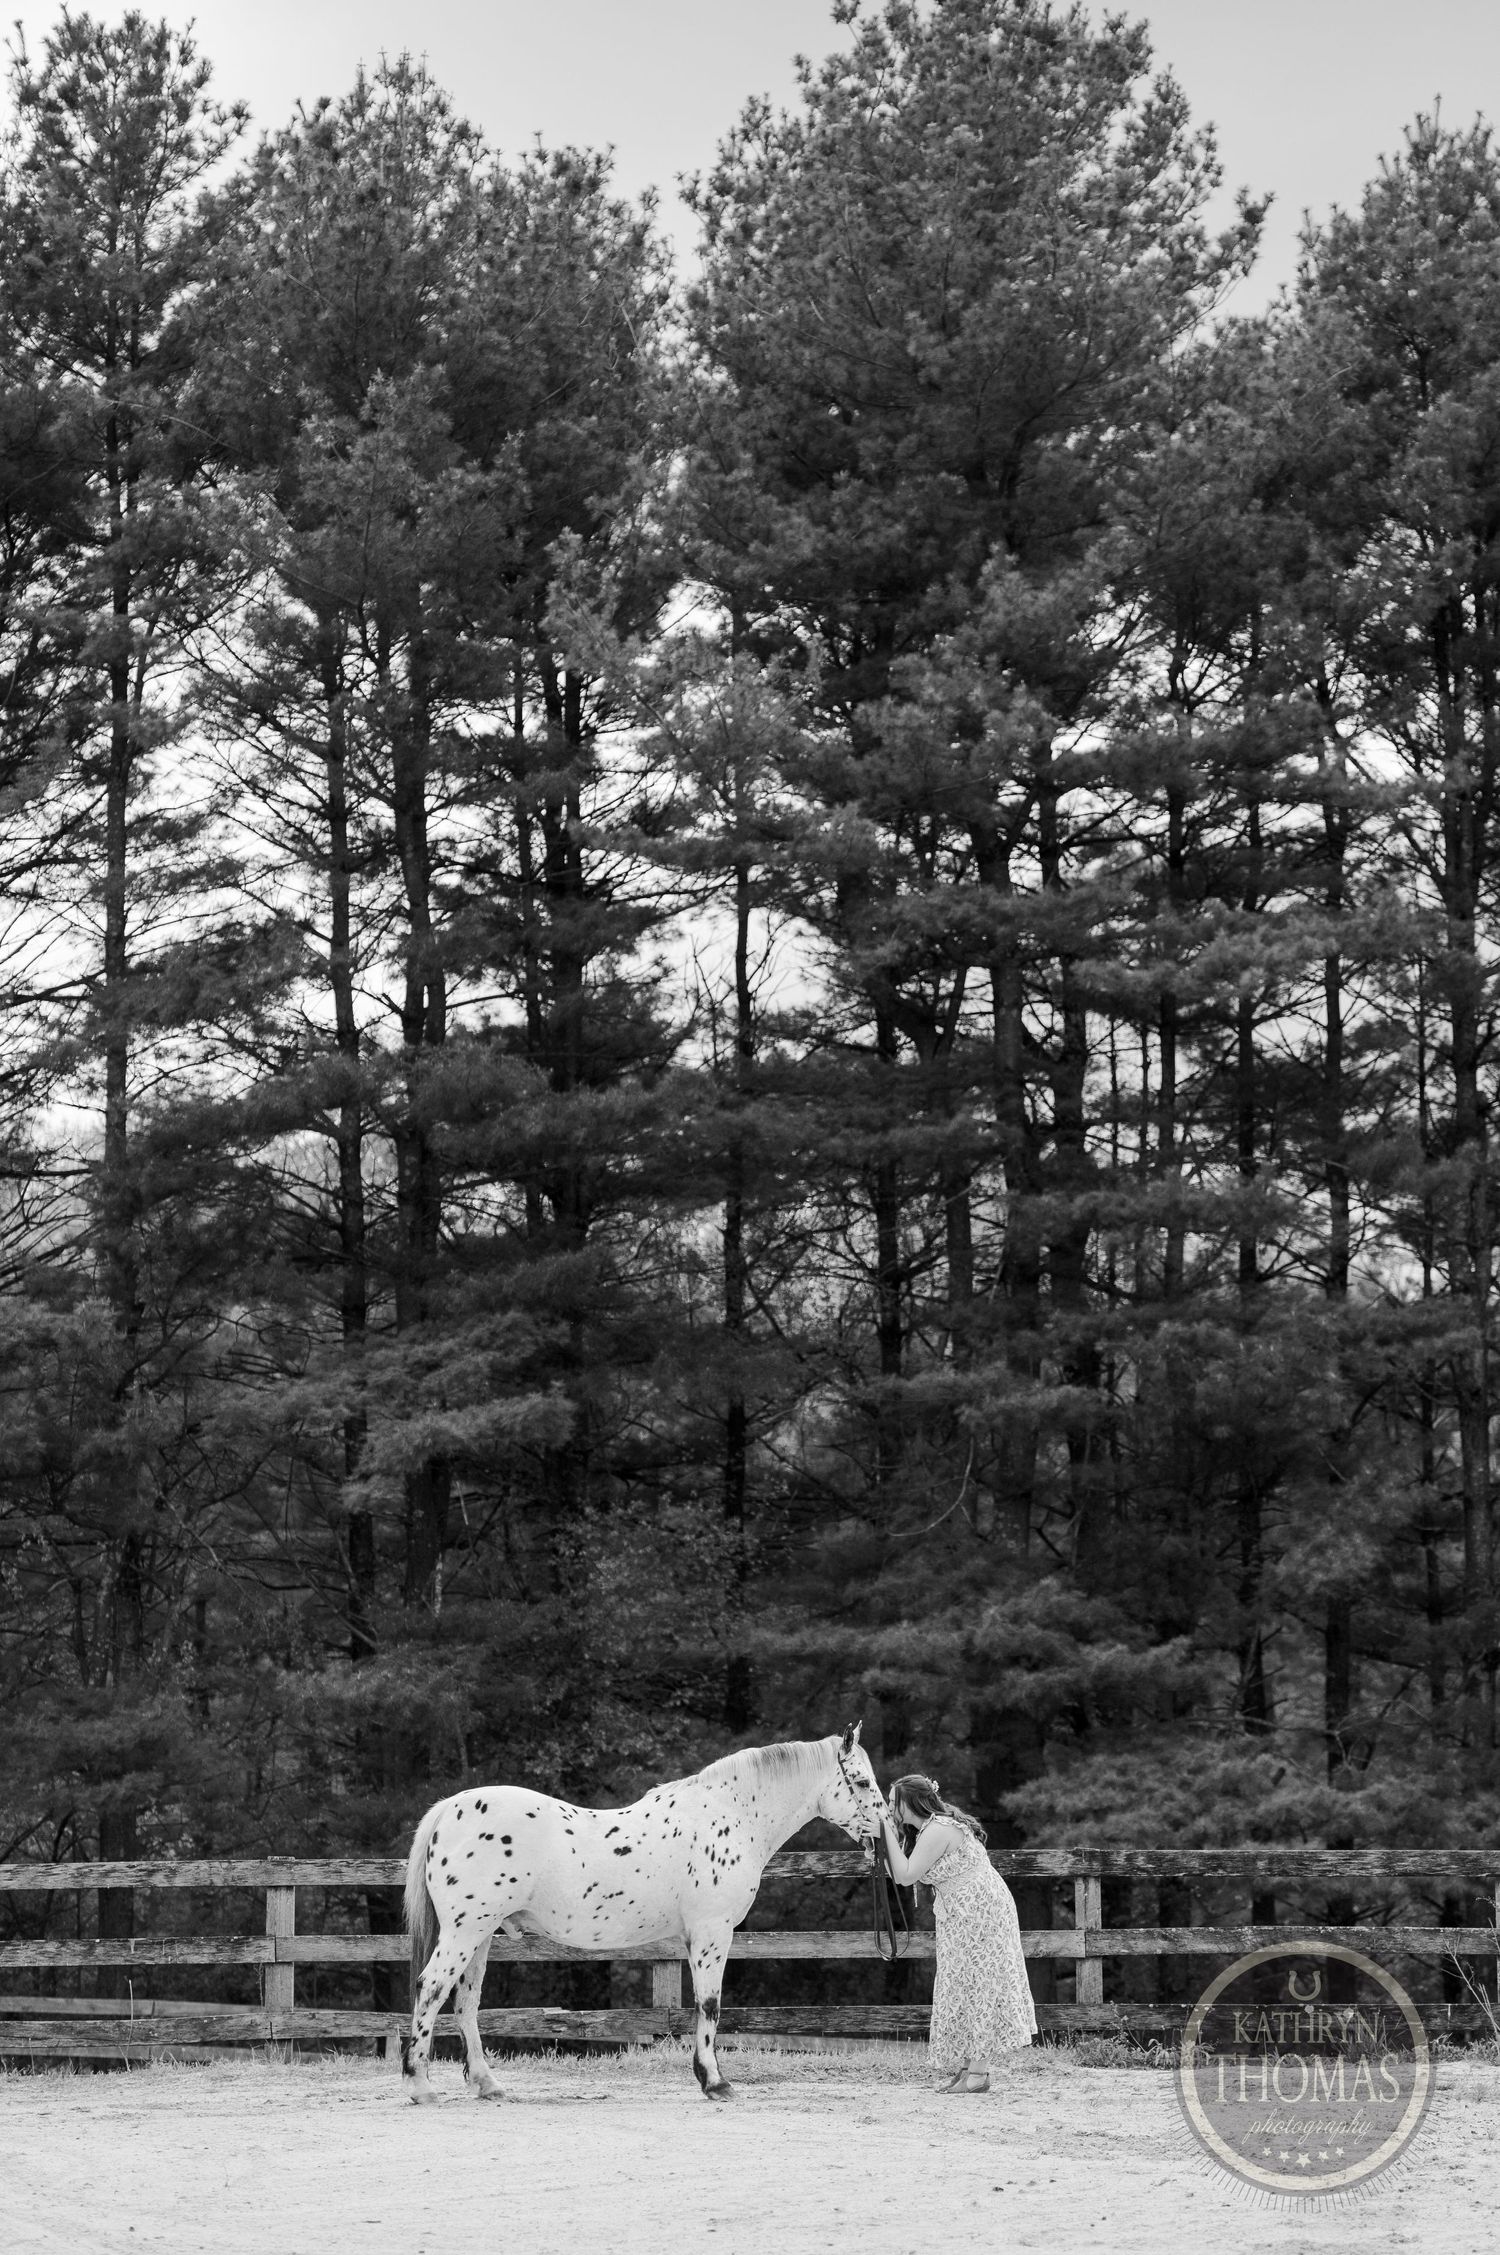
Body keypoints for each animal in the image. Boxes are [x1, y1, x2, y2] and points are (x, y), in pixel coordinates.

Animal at [399, 1722, 888, 2104]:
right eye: (862, 1782)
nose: (887, 1833)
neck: (727, 1816)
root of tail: (449, 1808)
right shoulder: (713, 1932)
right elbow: (710, 2005)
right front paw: (715, 2082)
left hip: (480, 1936)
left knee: (466, 2002)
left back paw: (487, 2084)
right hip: (464, 1932)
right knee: (431, 1988)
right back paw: (420, 2085)